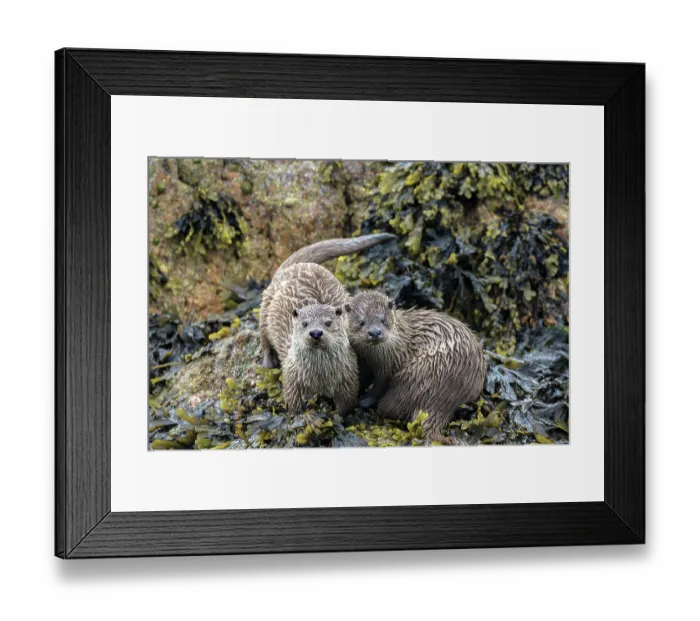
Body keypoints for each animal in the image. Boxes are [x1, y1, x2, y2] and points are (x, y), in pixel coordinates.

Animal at [346, 291, 487, 441]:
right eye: (361, 322)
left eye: (383, 320)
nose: (375, 332)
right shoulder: (364, 360)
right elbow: (363, 376)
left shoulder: (389, 365)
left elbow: (380, 385)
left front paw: (365, 400)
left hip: (416, 375)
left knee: (389, 407)